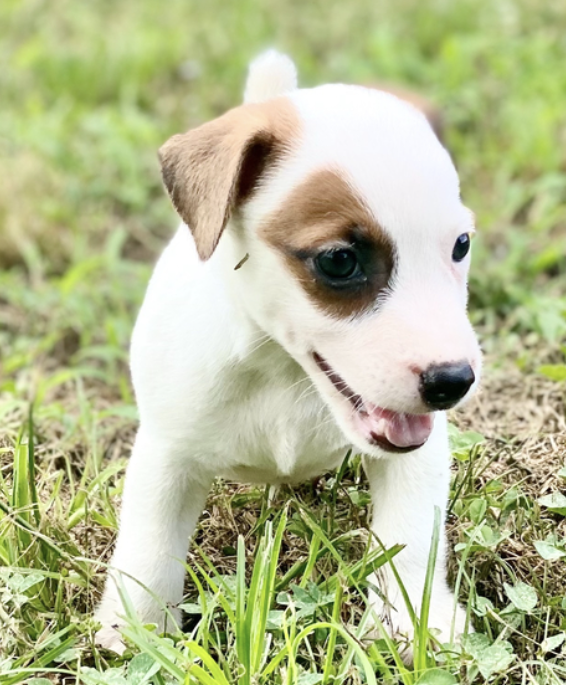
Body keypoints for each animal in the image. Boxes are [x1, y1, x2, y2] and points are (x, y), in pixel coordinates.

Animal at [95, 50, 481, 656]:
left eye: (461, 246)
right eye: (340, 261)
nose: (453, 382)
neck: (280, 369)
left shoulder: (417, 457)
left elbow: (413, 540)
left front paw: (416, 625)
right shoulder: (168, 453)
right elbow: (150, 548)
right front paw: (136, 632)